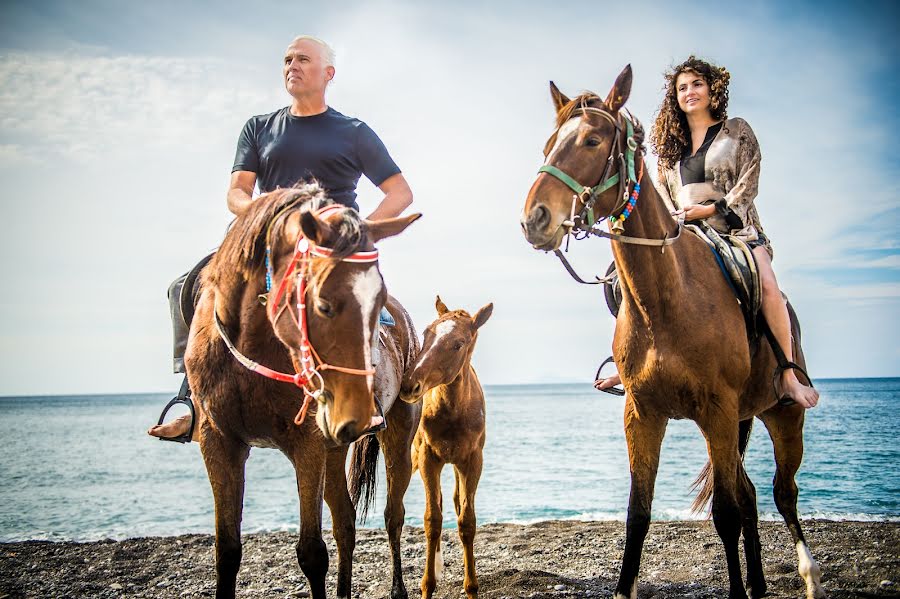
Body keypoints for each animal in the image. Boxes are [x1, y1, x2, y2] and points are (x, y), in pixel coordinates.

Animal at [185, 184, 422, 599]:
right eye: (323, 304)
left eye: (378, 304)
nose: (359, 411)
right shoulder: (219, 443)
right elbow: (226, 549)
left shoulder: (306, 445)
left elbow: (311, 552)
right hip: (334, 449)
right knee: (345, 522)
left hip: (397, 434)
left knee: (393, 516)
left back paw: (398, 589)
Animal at [398, 296, 488, 599]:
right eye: (426, 334)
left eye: (458, 344)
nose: (409, 385)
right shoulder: (429, 459)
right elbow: (432, 520)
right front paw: (427, 585)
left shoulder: (472, 460)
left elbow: (466, 521)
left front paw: (471, 587)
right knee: (436, 504)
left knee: (456, 501)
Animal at [520, 65, 824, 599]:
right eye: (548, 146)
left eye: (593, 140)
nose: (534, 219)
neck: (666, 302)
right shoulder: (643, 415)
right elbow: (638, 514)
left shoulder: (717, 412)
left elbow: (724, 514)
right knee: (750, 495)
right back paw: (760, 583)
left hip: (782, 415)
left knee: (782, 494)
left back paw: (809, 577)